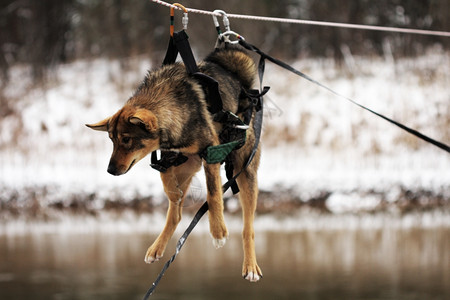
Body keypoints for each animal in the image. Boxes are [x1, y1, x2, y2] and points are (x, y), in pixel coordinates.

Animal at [86, 47, 262, 282]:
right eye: (112, 140)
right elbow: (168, 185)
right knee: (176, 215)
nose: (110, 170)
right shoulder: (171, 157)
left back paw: (250, 265)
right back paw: (157, 246)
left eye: (126, 139)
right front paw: (175, 194)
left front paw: (217, 231)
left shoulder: (211, 151)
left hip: (245, 172)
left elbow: (213, 194)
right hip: (190, 165)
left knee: (248, 228)